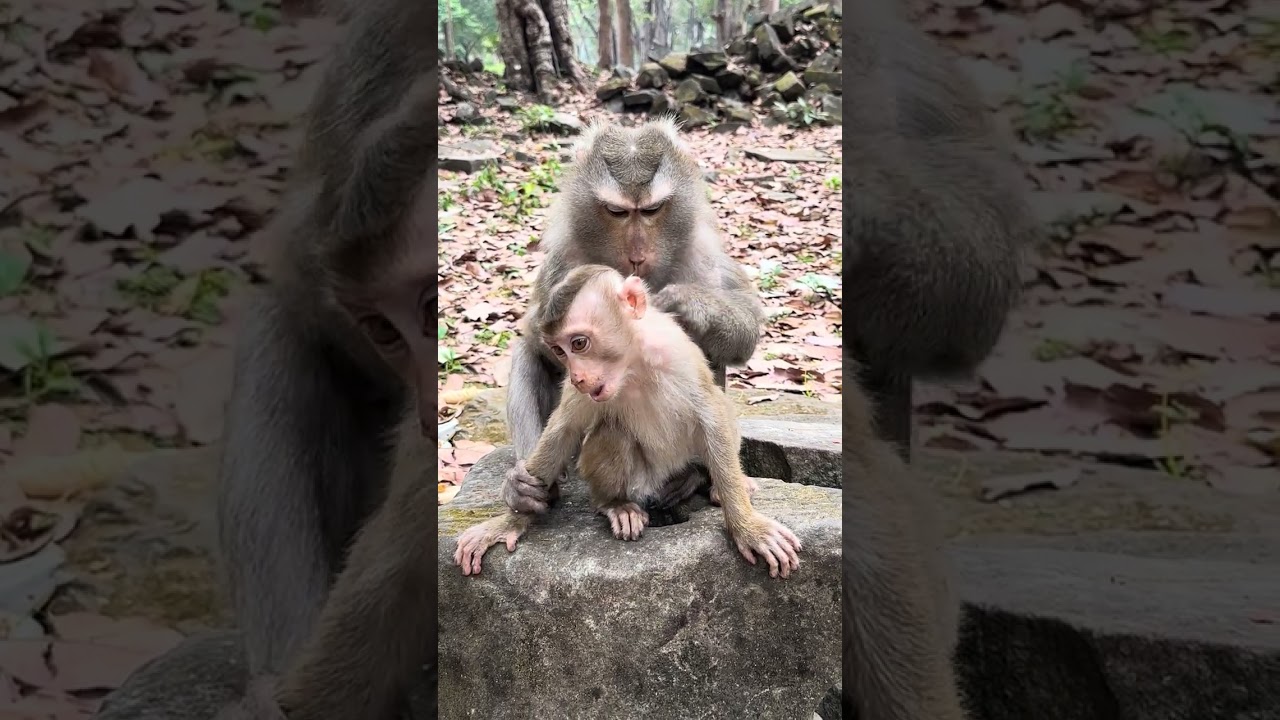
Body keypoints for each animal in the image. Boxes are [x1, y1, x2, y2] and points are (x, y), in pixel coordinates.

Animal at [454, 265, 802, 579]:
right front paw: (514, 514)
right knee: (613, 433)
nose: (577, 376)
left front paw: (746, 525)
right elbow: (564, 431)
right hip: (640, 483)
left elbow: (713, 416)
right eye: (559, 351)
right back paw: (615, 504)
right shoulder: (585, 392)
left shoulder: (680, 357)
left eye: (579, 343)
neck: (632, 366)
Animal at [500, 119, 766, 519]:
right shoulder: (563, 259)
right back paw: (528, 488)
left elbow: (744, 333)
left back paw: (698, 477)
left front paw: (684, 303)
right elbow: (537, 340)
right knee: (527, 355)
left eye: (652, 210)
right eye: (618, 212)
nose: (638, 256)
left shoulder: (701, 249)